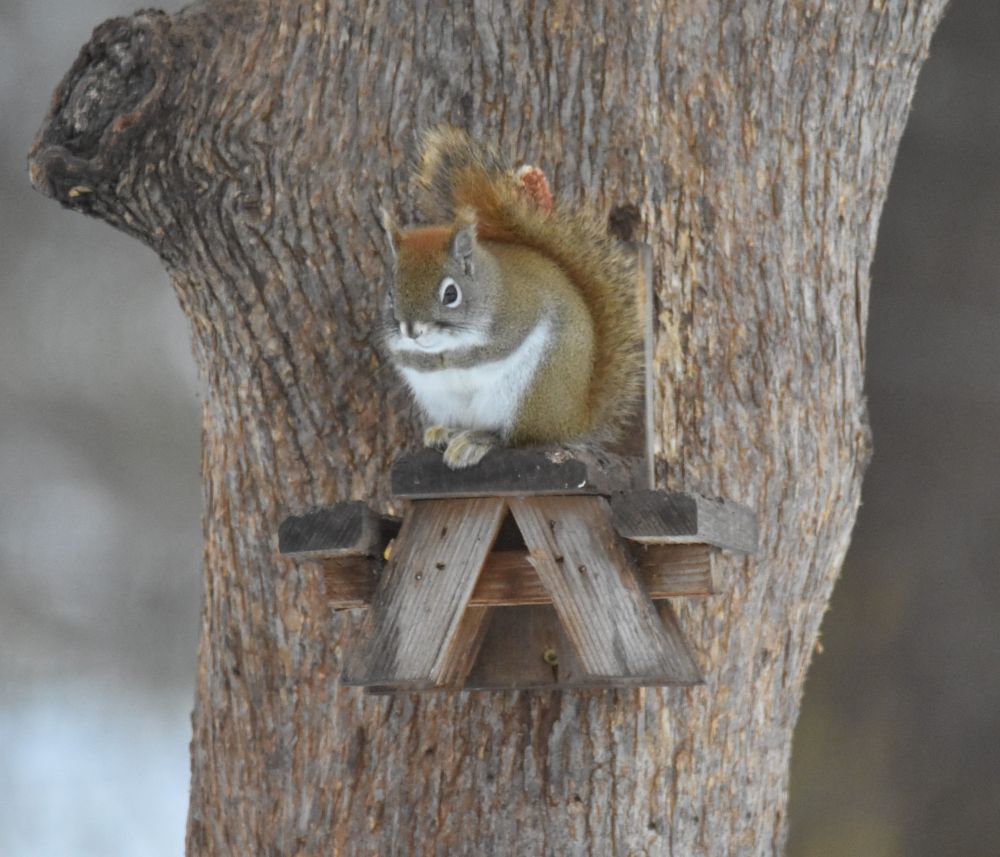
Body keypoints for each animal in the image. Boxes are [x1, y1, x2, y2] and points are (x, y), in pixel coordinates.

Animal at [380, 126, 642, 469]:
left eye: (450, 293)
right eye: (391, 290)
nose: (412, 330)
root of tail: (573, 421)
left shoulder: (519, 312)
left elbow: (491, 348)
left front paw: (454, 357)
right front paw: (423, 357)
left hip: (529, 394)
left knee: (516, 438)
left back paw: (477, 440)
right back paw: (444, 431)